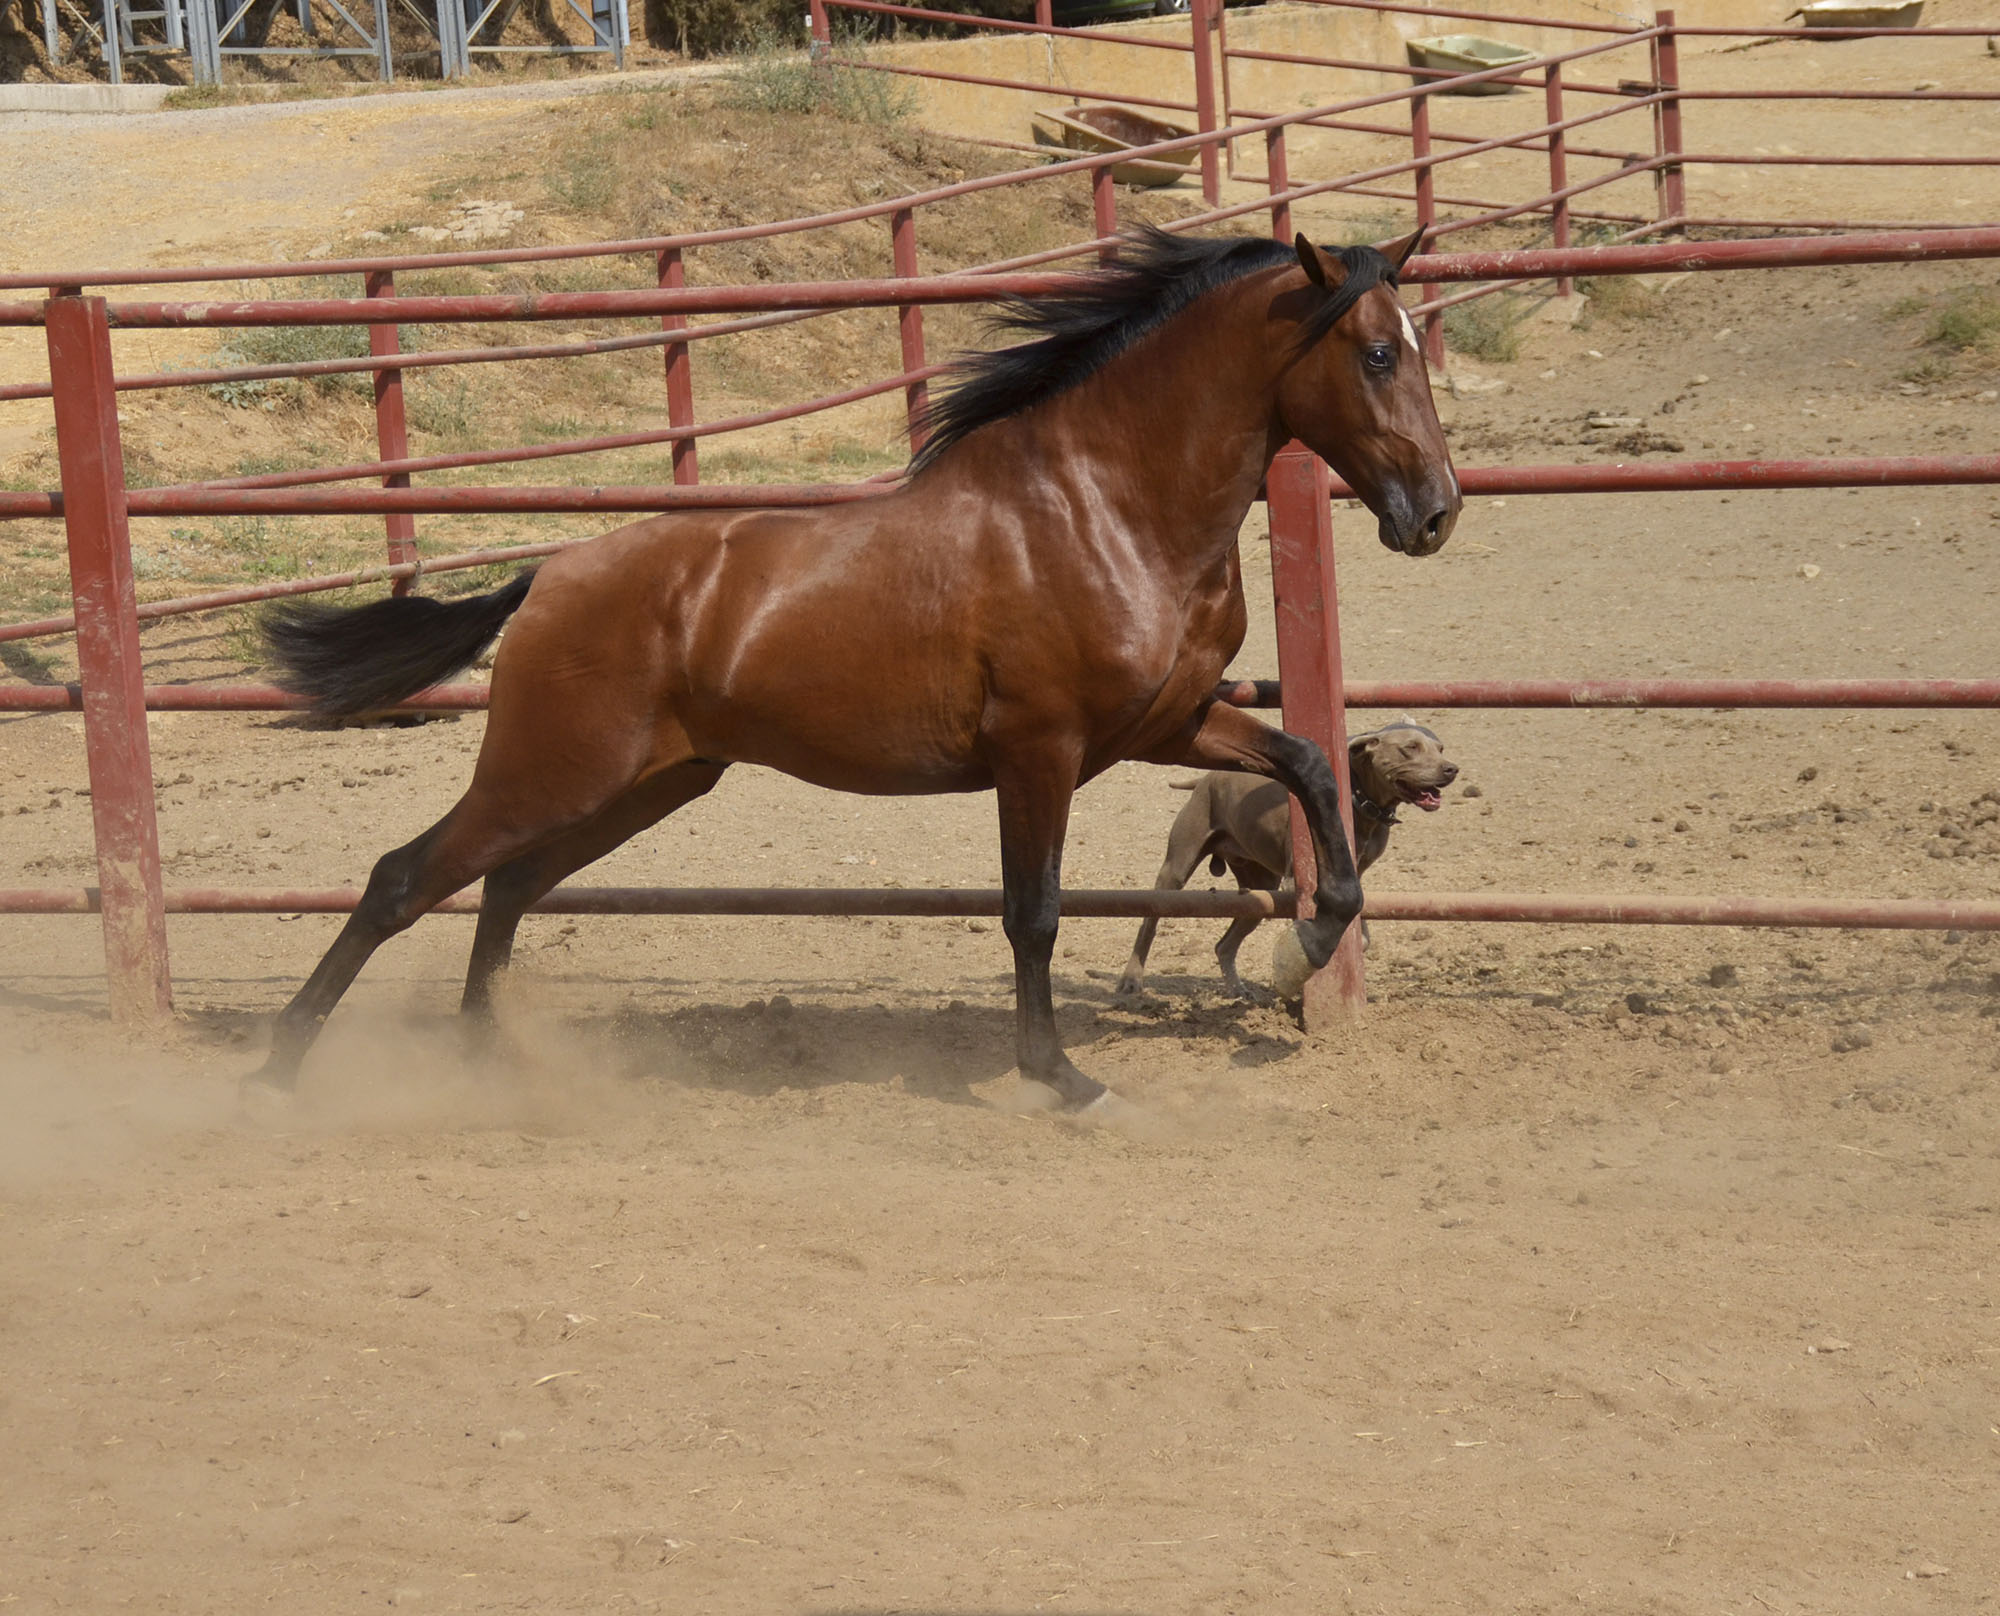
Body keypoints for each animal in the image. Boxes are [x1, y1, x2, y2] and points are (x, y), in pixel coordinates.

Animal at [1112, 720, 1456, 996]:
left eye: (1440, 748)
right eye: (1410, 747)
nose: (1451, 768)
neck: (1360, 800)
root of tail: (1204, 780)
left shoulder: (1354, 872)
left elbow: (1361, 928)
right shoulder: (1297, 879)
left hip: (1259, 892)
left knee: (1224, 945)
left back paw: (1237, 990)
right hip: (1176, 868)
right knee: (1149, 921)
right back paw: (1131, 979)